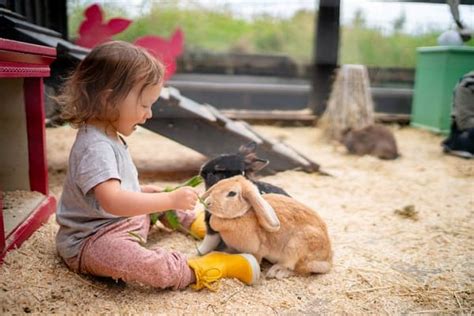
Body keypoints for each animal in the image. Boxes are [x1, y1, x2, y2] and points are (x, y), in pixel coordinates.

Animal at [201, 175, 334, 278]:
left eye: (232, 193)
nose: (208, 203)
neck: (243, 213)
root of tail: (327, 259)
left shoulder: (256, 250)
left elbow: (256, 258)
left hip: (296, 246)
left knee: (298, 268)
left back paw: (277, 272)